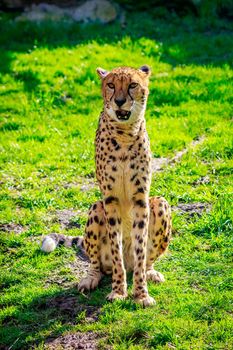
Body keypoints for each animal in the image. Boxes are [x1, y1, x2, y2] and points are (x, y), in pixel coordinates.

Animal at [42, 65, 171, 306]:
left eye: (132, 85)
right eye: (111, 85)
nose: (119, 101)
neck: (125, 133)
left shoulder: (141, 200)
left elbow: (140, 253)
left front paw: (141, 294)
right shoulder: (110, 201)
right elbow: (116, 250)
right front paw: (119, 292)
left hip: (160, 203)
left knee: (144, 260)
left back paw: (150, 272)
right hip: (96, 208)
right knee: (98, 265)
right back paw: (90, 279)